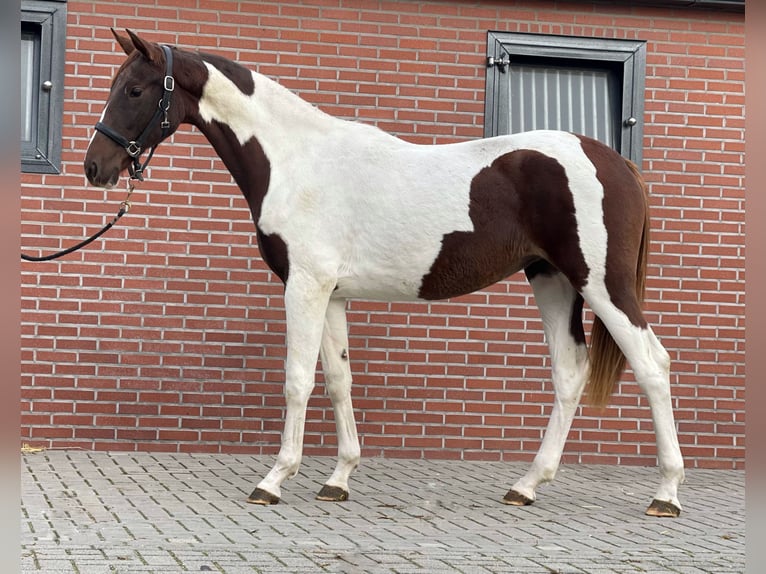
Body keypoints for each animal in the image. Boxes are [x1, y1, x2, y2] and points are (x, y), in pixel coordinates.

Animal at [85, 29, 688, 520]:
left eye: (134, 90)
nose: (96, 168)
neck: (297, 160)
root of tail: (616, 162)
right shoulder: (331, 294)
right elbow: (337, 381)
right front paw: (338, 479)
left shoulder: (304, 286)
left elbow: (297, 380)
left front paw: (274, 480)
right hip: (552, 281)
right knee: (569, 371)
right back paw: (526, 485)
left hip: (601, 284)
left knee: (652, 364)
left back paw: (666, 493)